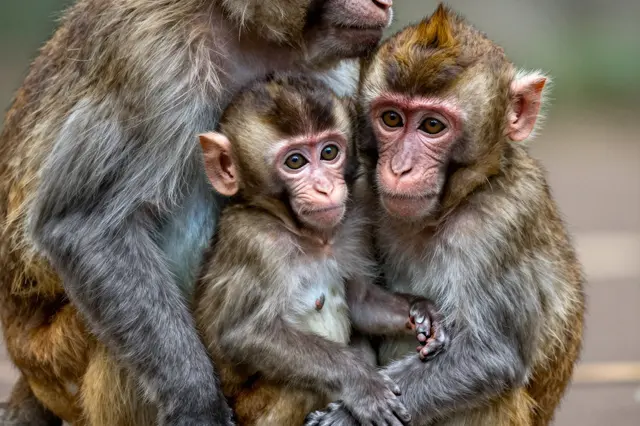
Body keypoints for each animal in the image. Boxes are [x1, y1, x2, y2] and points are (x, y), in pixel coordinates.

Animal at [0, 0, 396, 424]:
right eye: (295, 162)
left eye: (330, 152)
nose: (383, 3)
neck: (245, 27)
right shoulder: (154, 60)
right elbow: (85, 224)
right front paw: (197, 403)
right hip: (57, 361)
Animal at [194, 73, 448, 426]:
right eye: (295, 161)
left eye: (329, 152)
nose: (324, 188)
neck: (310, 237)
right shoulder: (255, 242)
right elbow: (245, 333)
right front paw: (362, 382)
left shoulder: (353, 223)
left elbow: (360, 302)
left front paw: (421, 312)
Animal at [305, 5, 585, 426]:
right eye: (392, 119)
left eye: (433, 125)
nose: (400, 168)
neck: (447, 208)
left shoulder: (500, 223)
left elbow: (489, 354)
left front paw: (344, 417)